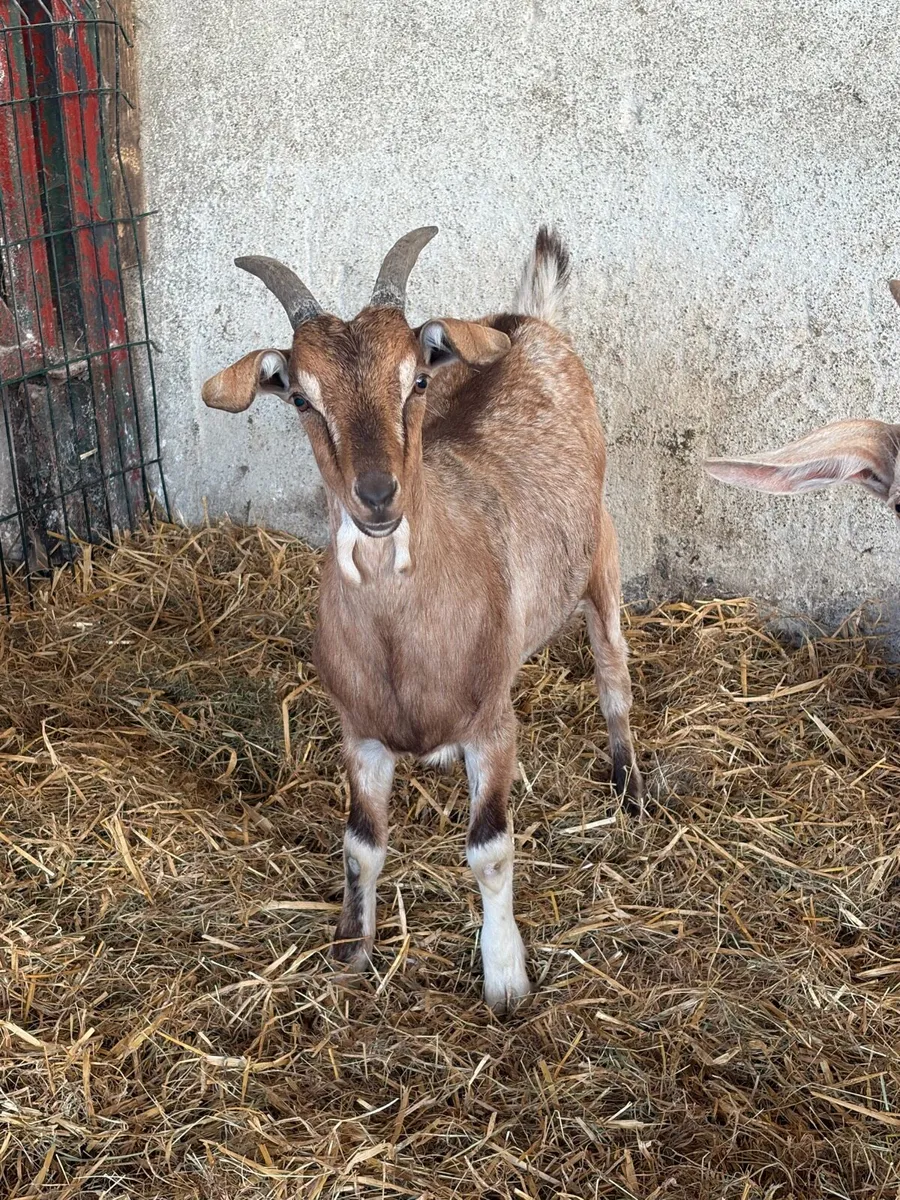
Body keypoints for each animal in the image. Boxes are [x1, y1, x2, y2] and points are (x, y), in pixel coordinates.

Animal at [201, 226, 643, 1011]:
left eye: (415, 381)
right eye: (302, 399)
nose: (378, 495)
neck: (402, 640)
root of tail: (528, 321)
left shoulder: (493, 726)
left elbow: (490, 850)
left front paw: (506, 978)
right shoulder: (360, 734)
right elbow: (361, 844)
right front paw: (351, 949)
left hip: (602, 548)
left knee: (612, 665)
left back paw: (629, 785)